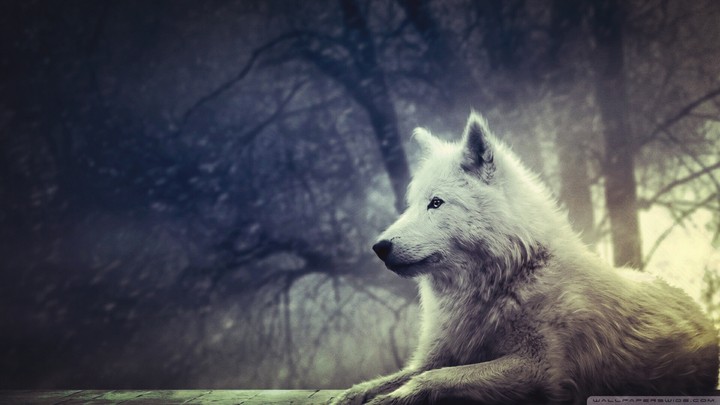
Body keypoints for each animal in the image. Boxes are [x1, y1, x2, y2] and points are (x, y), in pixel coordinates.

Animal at [332, 113, 719, 404]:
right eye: (411, 204)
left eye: (436, 203)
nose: (379, 247)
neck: (508, 278)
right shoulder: (435, 355)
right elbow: (393, 377)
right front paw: (352, 395)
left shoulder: (539, 368)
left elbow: (434, 379)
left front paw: (391, 398)